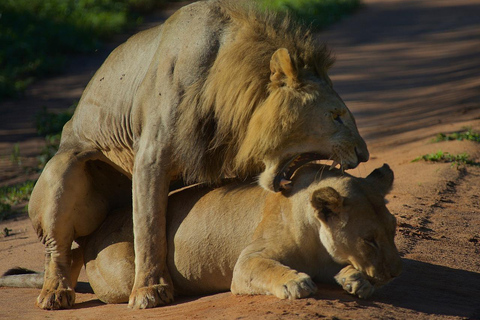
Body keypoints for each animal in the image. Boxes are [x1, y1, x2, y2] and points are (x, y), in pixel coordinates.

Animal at [2, 166, 402, 304]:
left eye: (393, 231)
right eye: (369, 239)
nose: (394, 274)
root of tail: (93, 236)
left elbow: (343, 270)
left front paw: (357, 280)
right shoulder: (246, 263)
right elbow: (269, 269)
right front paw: (295, 283)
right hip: (124, 269)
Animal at [29, 0, 368, 310]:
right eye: (336, 116)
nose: (363, 154)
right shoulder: (150, 155)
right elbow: (149, 227)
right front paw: (149, 290)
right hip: (64, 166)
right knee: (58, 249)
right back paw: (54, 293)